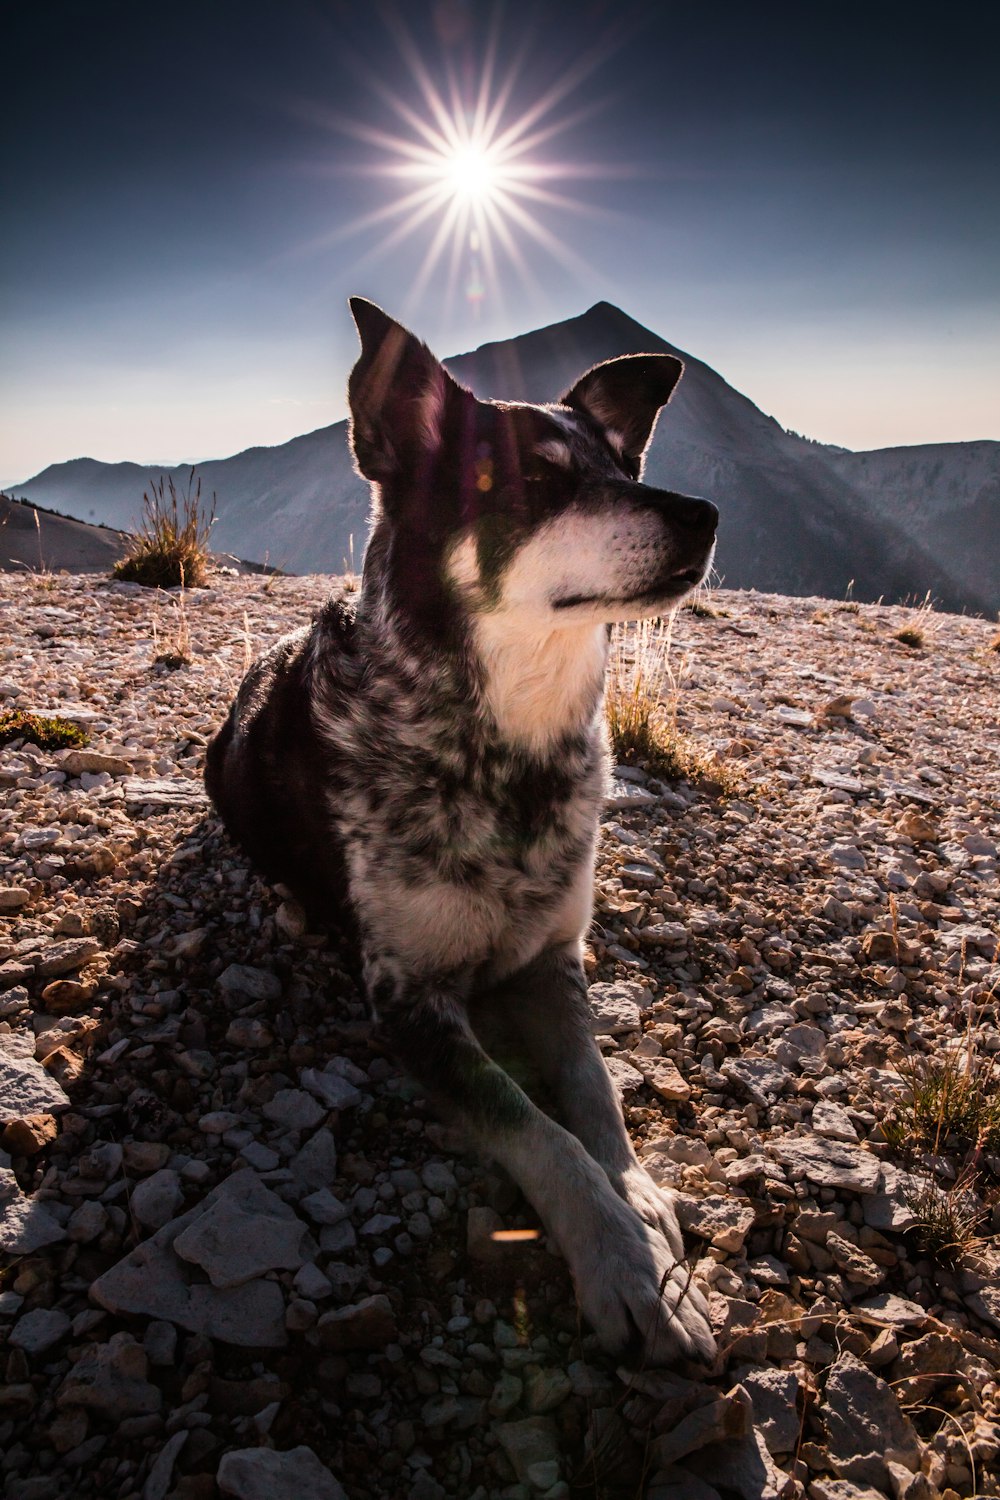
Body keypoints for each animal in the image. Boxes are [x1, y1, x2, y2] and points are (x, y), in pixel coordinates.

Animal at [205, 298, 719, 1368]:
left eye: (625, 470)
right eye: (541, 481)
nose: (705, 513)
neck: (505, 748)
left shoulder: (556, 959)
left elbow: (595, 1091)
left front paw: (645, 1204)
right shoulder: (408, 1000)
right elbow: (536, 1127)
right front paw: (622, 1264)